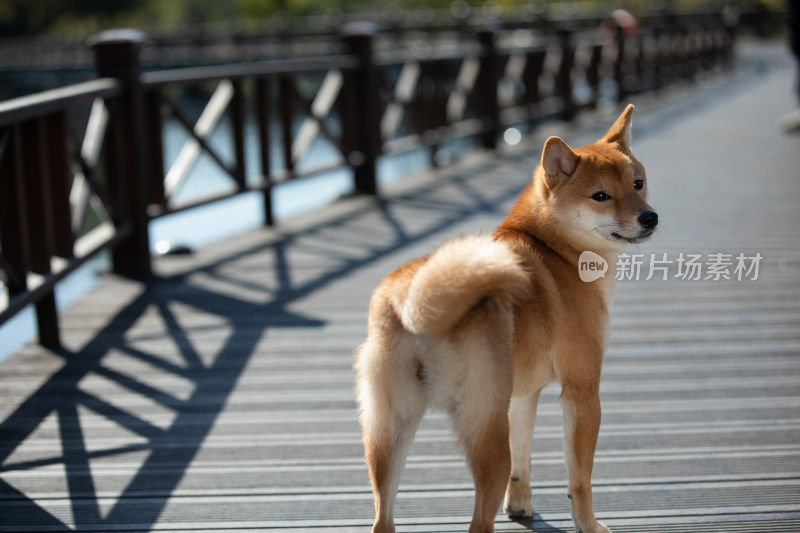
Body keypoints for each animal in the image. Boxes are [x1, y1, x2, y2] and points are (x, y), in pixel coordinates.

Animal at [356, 105, 656, 532]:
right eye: (601, 196)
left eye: (638, 183)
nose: (650, 217)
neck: (557, 250)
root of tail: (417, 306)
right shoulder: (582, 392)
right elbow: (579, 480)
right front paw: (589, 525)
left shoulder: (524, 394)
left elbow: (524, 460)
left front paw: (519, 506)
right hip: (486, 433)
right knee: (479, 519)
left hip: (390, 431)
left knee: (383, 517)